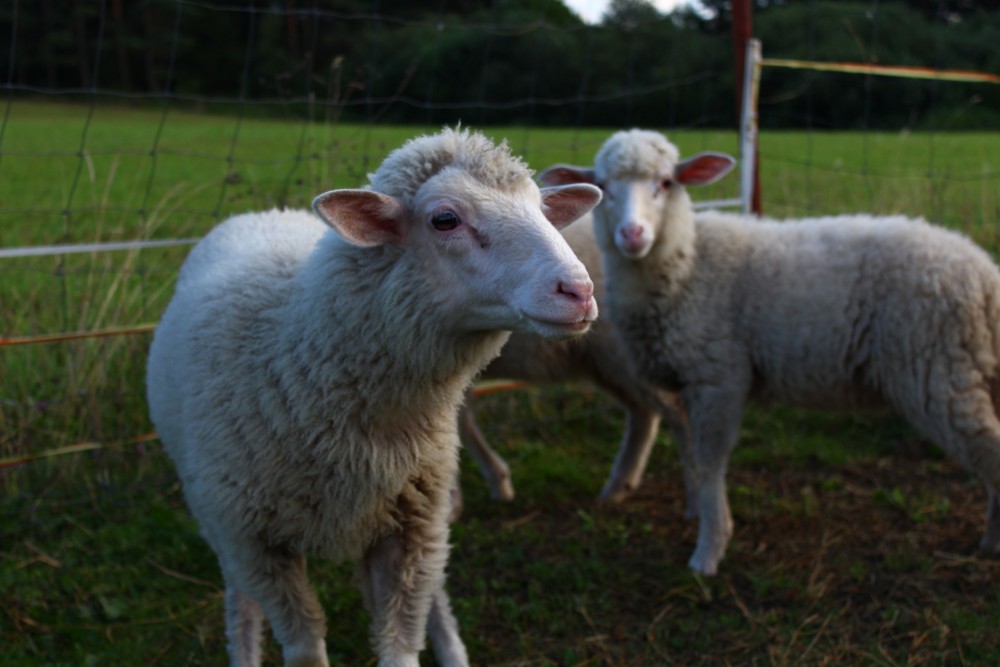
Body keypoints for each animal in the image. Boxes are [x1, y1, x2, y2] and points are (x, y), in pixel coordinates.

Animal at [146, 126, 600, 667]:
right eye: (444, 219)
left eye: (541, 208)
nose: (579, 291)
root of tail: (263, 213)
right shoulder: (256, 544)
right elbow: (305, 648)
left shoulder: (411, 529)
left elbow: (400, 645)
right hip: (224, 526)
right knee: (240, 600)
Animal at [456, 217, 696, 508]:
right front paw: (493, 484)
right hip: (602, 362)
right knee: (644, 412)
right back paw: (618, 487)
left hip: (626, 352)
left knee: (679, 413)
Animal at [544, 128, 1000, 576]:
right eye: (604, 186)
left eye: (667, 182)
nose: (632, 235)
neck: (688, 264)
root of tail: (985, 274)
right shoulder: (689, 378)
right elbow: (690, 452)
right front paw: (698, 513)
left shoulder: (719, 377)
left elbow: (709, 462)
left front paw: (709, 551)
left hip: (938, 373)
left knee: (990, 450)